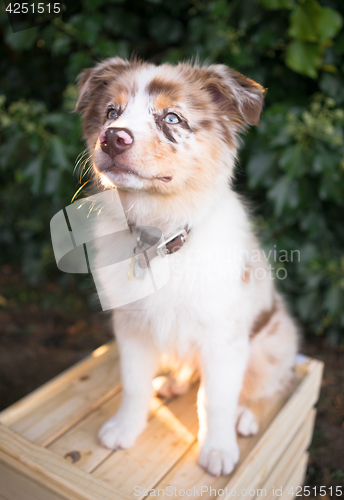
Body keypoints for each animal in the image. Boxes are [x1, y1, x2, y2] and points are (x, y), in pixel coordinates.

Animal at [75, 58, 298, 476]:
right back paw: (173, 383)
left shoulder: (224, 339)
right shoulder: (131, 326)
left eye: (172, 118)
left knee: (270, 386)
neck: (159, 237)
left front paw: (218, 449)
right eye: (111, 112)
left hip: (273, 341)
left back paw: (246, 413)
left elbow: (216, 399)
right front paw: (124, 429)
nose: (112, 138)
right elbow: (133, 383)